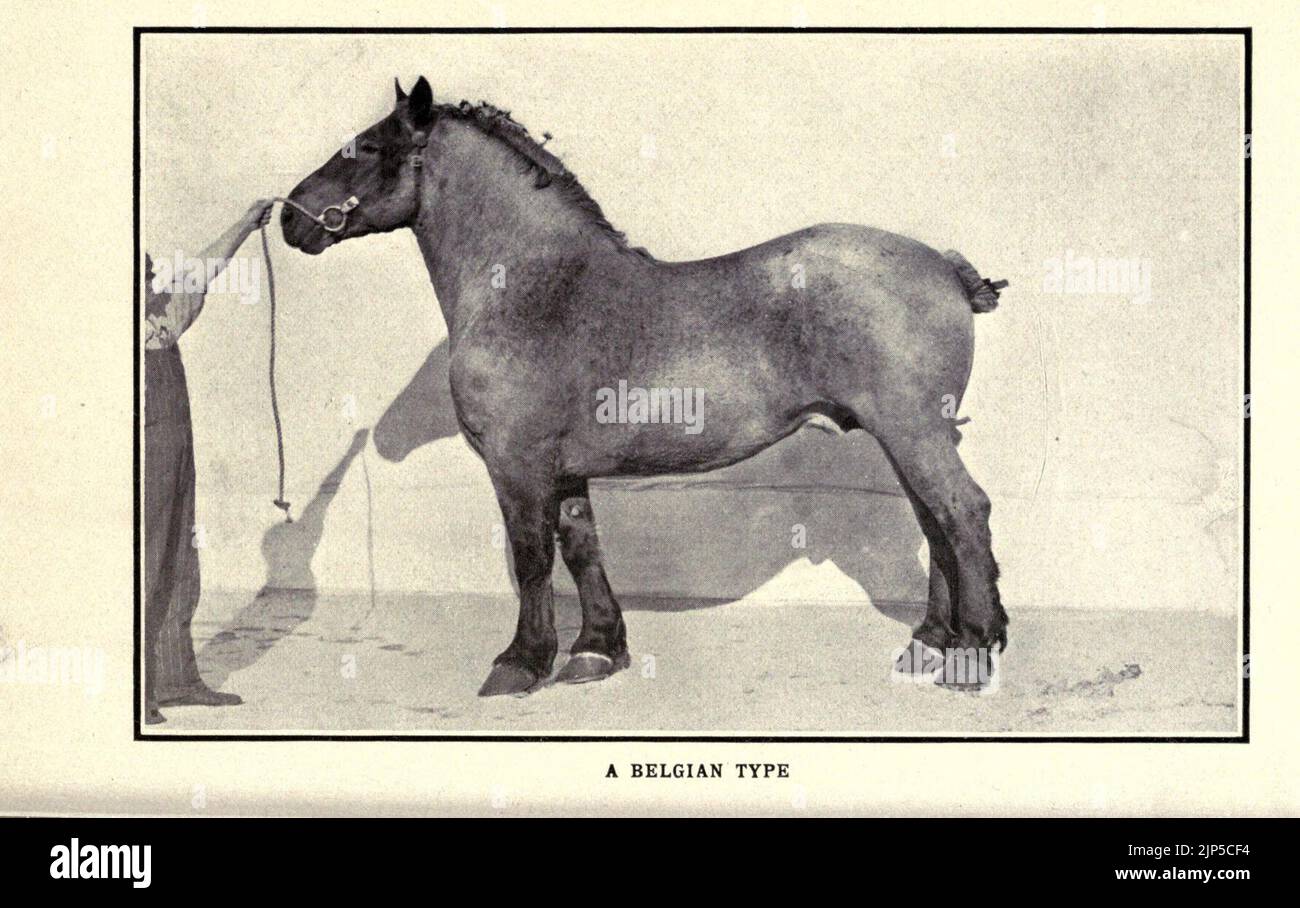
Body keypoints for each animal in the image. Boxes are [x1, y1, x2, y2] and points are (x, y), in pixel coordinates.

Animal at [282, 76, 1009, 696]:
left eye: (367, 149)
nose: (289, 218)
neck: (535, 285)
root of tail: (942, 266)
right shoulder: (565, 470)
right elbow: (581, 549)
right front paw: (596, 650)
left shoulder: (518, 464)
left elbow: (530, 558)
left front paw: (520, 662)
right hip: (907, 437)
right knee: (936, 522)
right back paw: (931, 642)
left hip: (913, 431)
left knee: (962, 512)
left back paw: (970, 653)